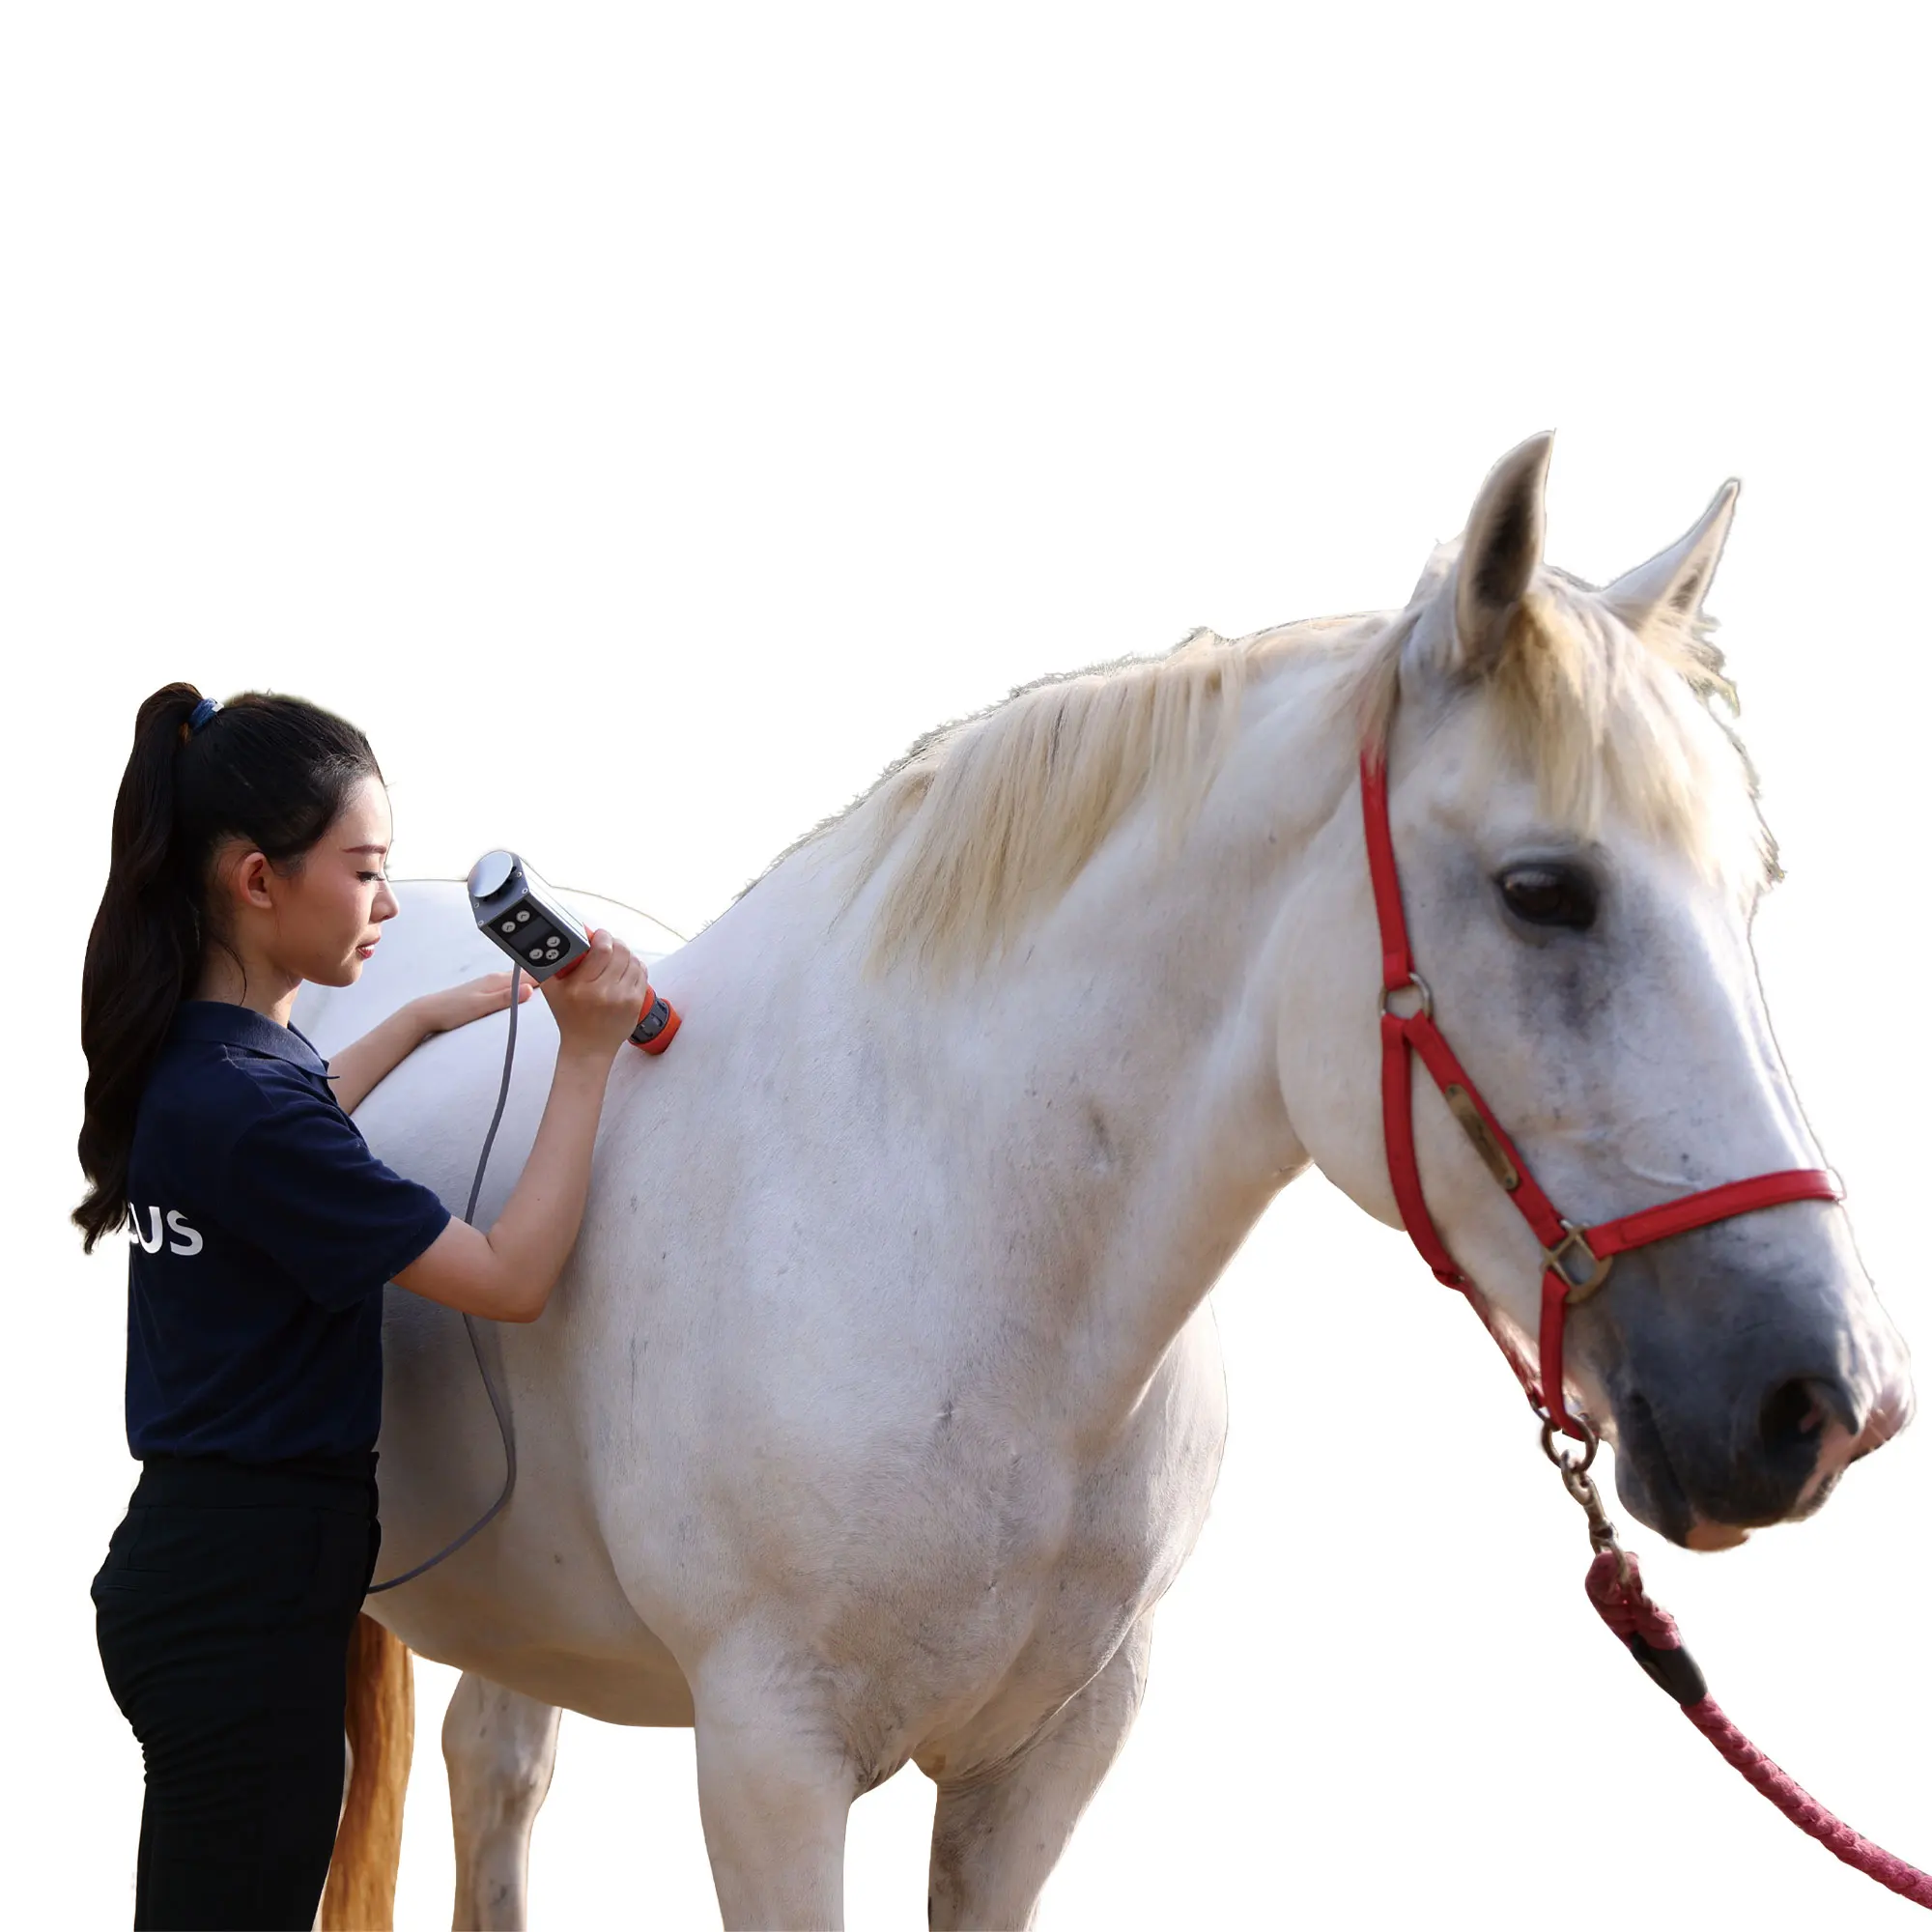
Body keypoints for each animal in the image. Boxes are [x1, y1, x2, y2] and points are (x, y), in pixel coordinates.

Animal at [298, 435, 1914, 1930]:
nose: (1828, 1398)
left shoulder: (1048, 1762)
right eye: (1543, 892)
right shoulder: (767, 1765)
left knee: (495, 1768)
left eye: (1751, 891)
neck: (955, 1234)